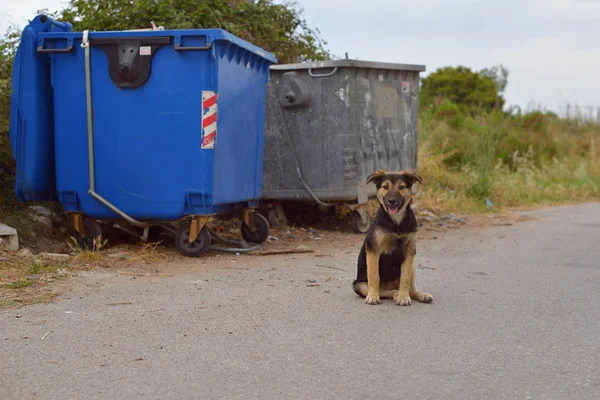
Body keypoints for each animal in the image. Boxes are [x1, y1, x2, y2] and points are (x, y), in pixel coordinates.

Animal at [352, 170, 432, 306]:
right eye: (385, 187)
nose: (392, 201)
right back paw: (394, 293)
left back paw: (420, 295)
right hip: (358, 285)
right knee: (383, 290)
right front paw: (373, 296)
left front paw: (404, 297)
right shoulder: (373, 251)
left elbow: (405, 279)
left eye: (401, 187)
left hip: (413, 266)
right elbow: (374, 276)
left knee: (411, 289)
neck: (397, 223)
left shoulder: (409, 252)